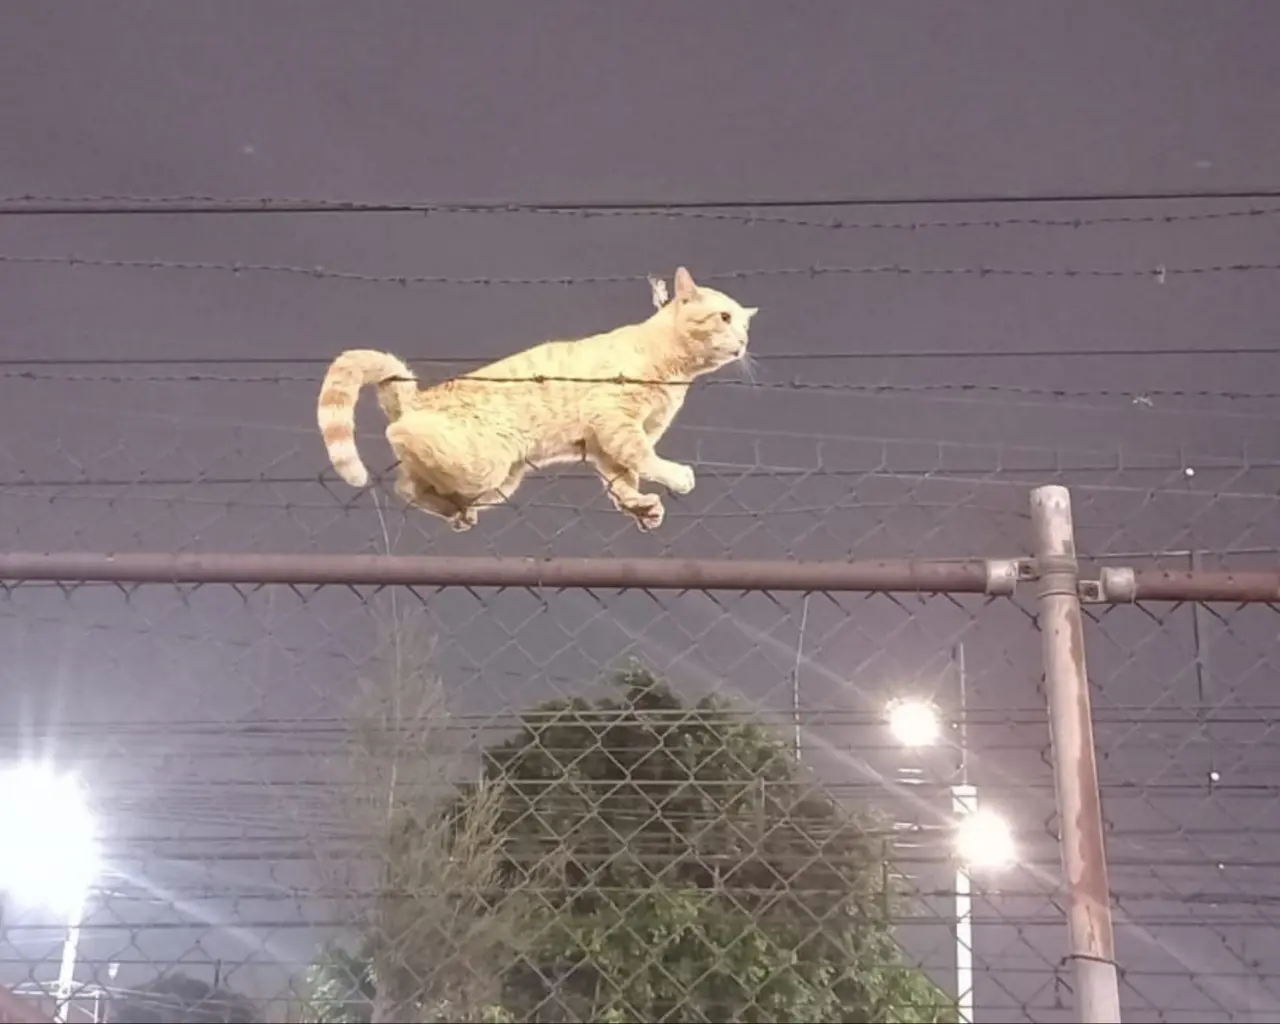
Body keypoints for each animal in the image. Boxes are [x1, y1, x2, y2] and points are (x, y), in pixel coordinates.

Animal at [318, 267, 752, 532]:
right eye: (724, 318)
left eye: (744, 325)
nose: (744, 342)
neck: (673, 368)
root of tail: (417, 398)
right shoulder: (615, 420)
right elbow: (645, 458)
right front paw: (676, 477)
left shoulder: (604, 444)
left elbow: (622, 479)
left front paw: (640, 506)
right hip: (485, 464)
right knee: (402, 461)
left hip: (501, 481)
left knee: (411, 486)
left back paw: (459, 514)